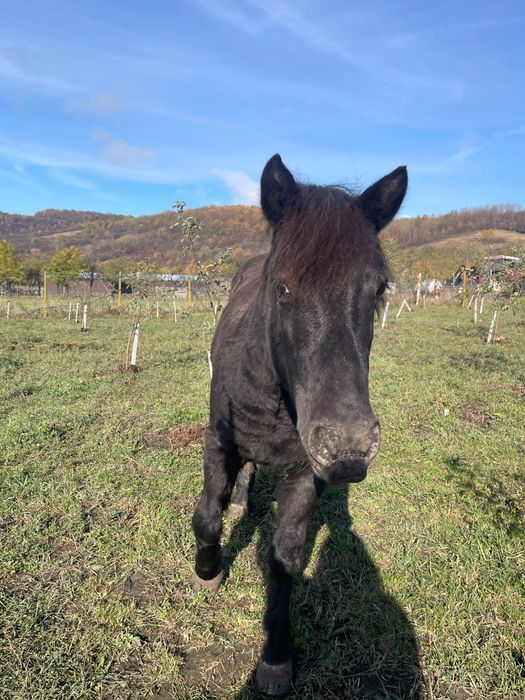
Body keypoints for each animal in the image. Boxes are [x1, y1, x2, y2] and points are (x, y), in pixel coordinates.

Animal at [191, 154, 408, 696]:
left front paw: (275, 657)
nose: (349, 447)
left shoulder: (304, 472)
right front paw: (207, 571)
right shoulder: (217, 443)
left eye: (379, 289)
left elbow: (284, 558)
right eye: (283, 286)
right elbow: (207, 514)